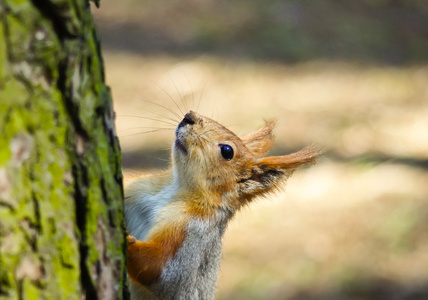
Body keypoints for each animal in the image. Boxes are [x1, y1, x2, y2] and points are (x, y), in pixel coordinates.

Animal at [123, 110, 320, 300]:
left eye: (227, 150)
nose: (189, 117)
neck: (175, 187)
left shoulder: (193, 234)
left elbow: (160, 270)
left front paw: (127, 241)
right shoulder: (139, 189)